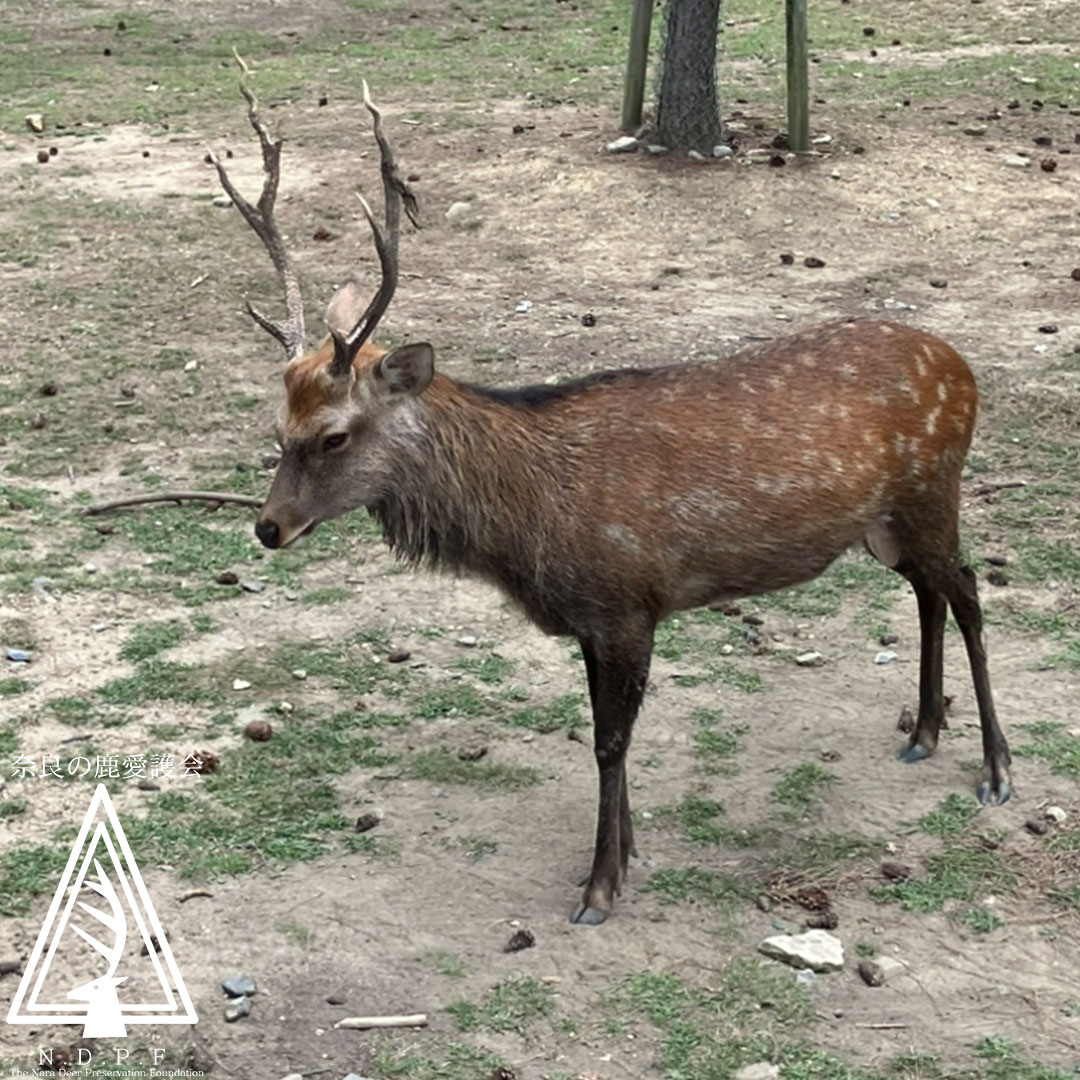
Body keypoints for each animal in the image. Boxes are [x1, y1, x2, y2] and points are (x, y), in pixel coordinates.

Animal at [212, 84, 1011, 925]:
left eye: (332, 435)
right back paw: (925, 732)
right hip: (887, 524)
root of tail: (962, 367)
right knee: (929, 593)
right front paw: (625, 854)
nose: (268, 527)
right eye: (277, 428)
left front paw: (599, 886)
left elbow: (608, 742)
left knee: (969, 592)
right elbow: (604, 733)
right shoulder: (593, 618)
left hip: (934, 489)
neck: (531, 526)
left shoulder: (628, 602)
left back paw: (996, 767)